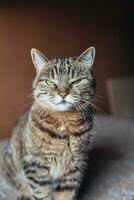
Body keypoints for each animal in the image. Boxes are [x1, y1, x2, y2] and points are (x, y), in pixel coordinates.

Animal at [0, 46, 96, 200]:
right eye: (50, 82)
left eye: (76, 81)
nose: (63, 93)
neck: (64, 120)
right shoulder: (35, 164)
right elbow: (42, 192)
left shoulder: (74, 166)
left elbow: (65, 193)